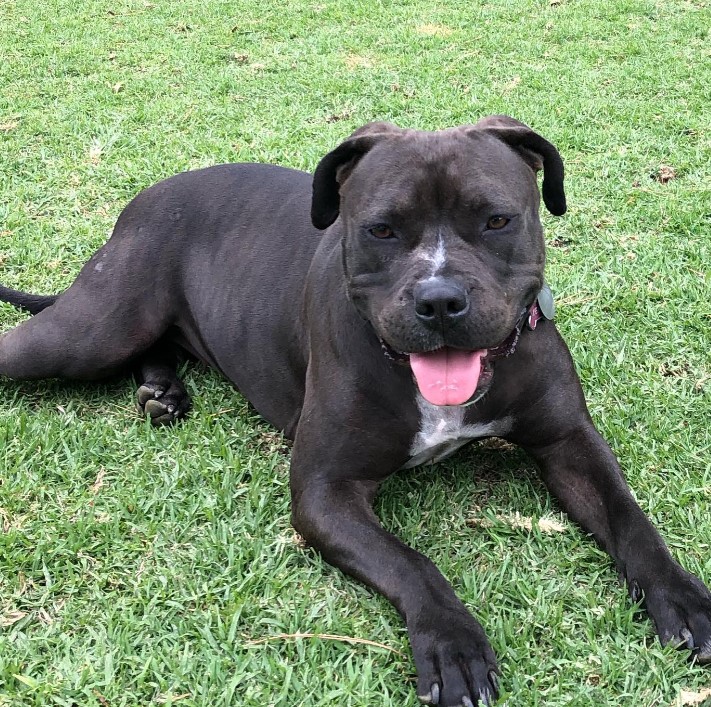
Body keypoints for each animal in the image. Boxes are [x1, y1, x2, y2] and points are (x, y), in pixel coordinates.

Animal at [1, 113, 711, 704]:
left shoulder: (568, 443)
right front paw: (453, 644)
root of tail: (144, 198)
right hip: (92, 331)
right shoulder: (325, 490)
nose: (440, 300)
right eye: (381, 229)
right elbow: (411, 562)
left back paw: (163, 391)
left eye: (496, 221)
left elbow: (631, 520)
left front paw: (685, 600)